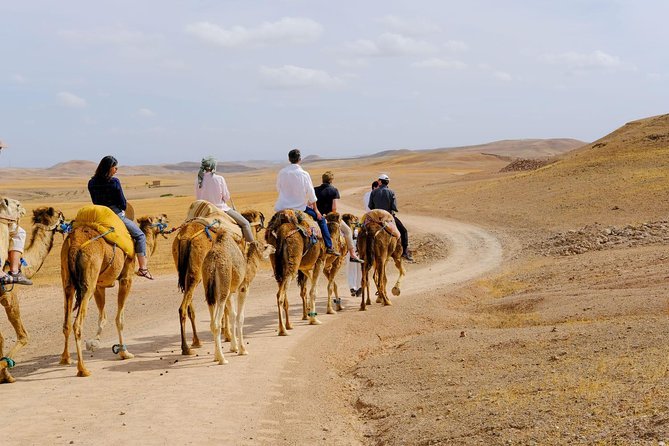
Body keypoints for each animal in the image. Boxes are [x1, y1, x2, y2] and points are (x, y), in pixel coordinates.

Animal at [0, 205, 67, 383]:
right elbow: (23, 336)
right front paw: (4, 371)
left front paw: (5, 375)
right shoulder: (9, 296)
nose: (70, 222)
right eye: (61, 216)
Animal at [59, 209, 168, 377]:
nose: (166, 216)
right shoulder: (126, 279)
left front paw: (94, 343)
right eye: (160, 219)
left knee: (66, 323)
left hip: (68, 281)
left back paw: (65, 359)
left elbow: (103, 316)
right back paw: (83, 369)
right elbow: (119, 319)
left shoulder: (100, 286)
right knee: (77, 324)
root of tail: (75, 244)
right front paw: (124, 353)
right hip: (88, 282)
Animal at [172, 206, 265, 355]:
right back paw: (186, 348)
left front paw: (225, 334)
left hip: (186, 273)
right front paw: (228, 336)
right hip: (197, 273)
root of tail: (186, 237)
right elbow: (226, 308)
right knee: (183, 308)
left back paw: (196, 341)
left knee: (188, 306)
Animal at [201, 231, 274, 364]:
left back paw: (216, 356)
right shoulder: (243, 288)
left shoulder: (231, 292)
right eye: (265, 246)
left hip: (209, 291)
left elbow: (233, 315)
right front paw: (242, 350)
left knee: (212, 322)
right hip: (223, 287)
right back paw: (222, 359)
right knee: (216, 323)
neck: (247, 266)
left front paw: (234, 347)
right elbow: (240, 317)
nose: (274, 248)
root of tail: (213, 264)